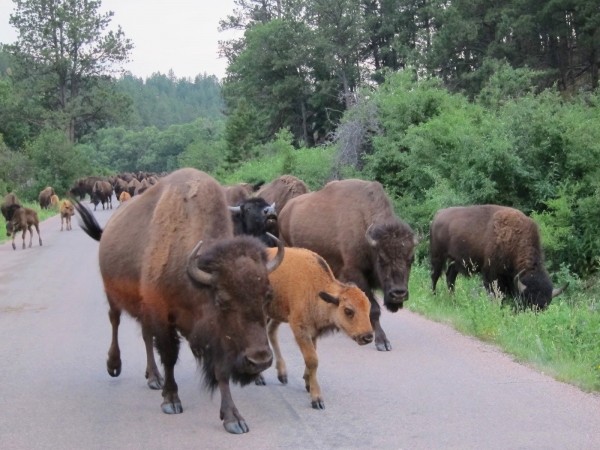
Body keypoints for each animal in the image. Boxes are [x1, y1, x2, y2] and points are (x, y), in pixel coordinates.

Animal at [75, 168, 286, 432]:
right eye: (221, 299)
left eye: (267, 295)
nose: (259, 361)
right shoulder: (163, 316)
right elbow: (169, 356)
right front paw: (171, 401)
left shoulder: (214, 335)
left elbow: (221, 370)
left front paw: (233, 418)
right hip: (113, 294)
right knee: (115, 321)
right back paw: (114, 365)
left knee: (145, 336)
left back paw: (154, 378)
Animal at [258, 248, 376, 410]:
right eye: (348, 311)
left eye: (368, 307)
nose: (368, 337)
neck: (315, 288)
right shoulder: (299, 329)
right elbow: (312, 359)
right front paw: (317, 399)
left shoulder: (312, 332)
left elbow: (312, 355)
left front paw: (307, 383)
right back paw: (260, 378)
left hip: (277, 313)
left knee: (271, 332)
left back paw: (282, 375)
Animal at [280, 179, 418, 352]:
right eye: (381, 258)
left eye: (411, 259)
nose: (398, 294)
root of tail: (286, 209)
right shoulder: (355, 273)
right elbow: (373, 308)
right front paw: (382, 341)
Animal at [428, 207, 564, 310]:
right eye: (528, 300)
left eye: (545, 306)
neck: (515, 239)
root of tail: (439, 214)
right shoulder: (492, 276)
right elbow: (497, 294)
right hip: (438, 256)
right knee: (435, 275)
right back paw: (433, 296)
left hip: (455, 261)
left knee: (450, 277)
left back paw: (453, 301)